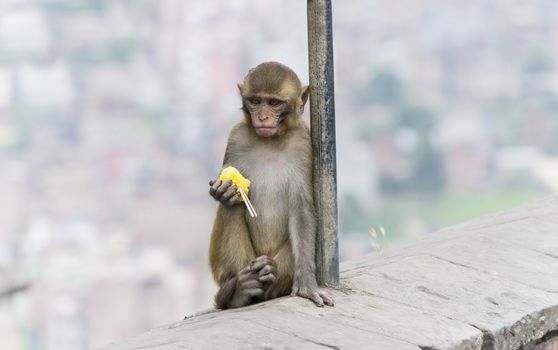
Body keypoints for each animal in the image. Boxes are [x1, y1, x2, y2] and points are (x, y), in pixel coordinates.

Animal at [208, 62, 334, 308]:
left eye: (274, 103)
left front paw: (306, 284)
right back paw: (238, 291)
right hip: (243, 262)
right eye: (256, 101)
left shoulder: (302, 144)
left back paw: (269, 272)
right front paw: (223, 190)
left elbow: (302, 209)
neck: (271, 141)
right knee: (232, 207)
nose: (263, 117)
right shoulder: (236, 137)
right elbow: (232, 190)